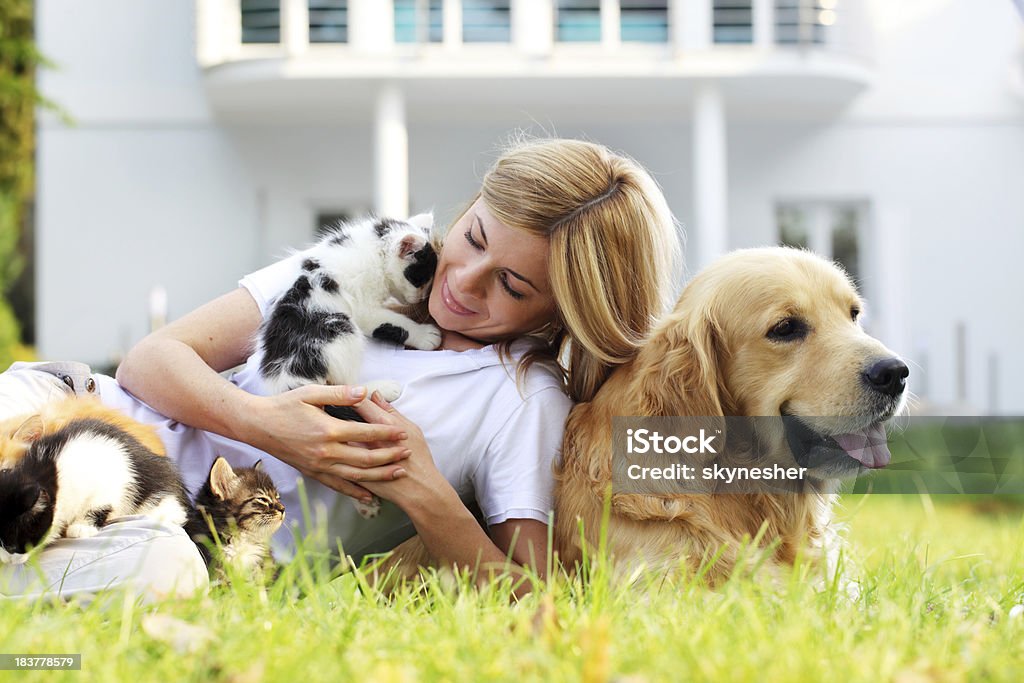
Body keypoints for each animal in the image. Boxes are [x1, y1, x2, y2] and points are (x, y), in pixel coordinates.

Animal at [256, 211, 440, 518]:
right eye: (421, 278)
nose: (424, 298)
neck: (373, 248)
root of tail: (286, 378)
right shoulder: (365, 308)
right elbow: (393, 322)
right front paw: (425, 335)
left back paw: (364, 503)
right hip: (340, 327)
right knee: (347, 387)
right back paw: (382, 388)